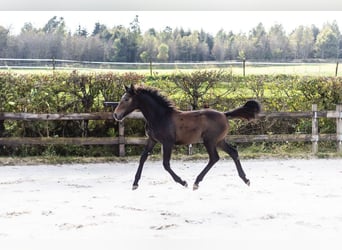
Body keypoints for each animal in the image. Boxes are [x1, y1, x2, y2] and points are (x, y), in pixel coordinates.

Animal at [113, 84, 260, 189]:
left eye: (126, 99)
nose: (116, 115)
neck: (160, 116)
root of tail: (224, 114)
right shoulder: (152, 140)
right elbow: (142, 158)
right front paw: (135, 183)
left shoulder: (167, 142)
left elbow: (166, 164)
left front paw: (183, 182)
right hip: (219, 141)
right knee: (233, 152)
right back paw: (246, 179)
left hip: (210, 141)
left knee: (214, 158)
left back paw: (196, 182)